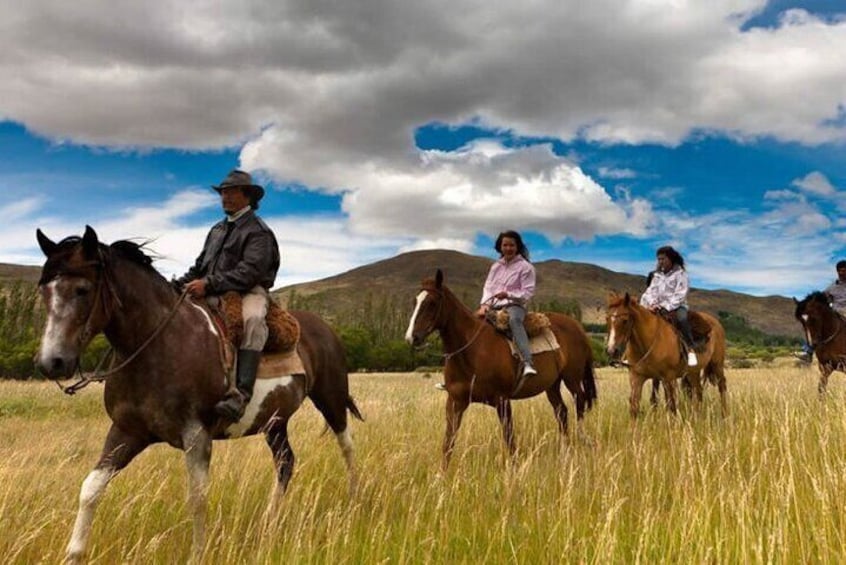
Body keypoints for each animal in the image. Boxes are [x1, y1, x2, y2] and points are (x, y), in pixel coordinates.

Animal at [36, 226, 362, 564]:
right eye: (44, 291)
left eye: (82, 289)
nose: (51, 363)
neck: (157, 345)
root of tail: (325, 328)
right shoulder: (126, 432)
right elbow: (90, 489)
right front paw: (73, 554)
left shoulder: (196, 435)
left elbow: (197, 498)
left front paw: (197, 553)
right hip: (274, 422)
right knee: (285, 462)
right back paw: (269, 523)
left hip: (331, 398)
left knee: (347, 446)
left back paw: (354, 503)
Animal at [404, 268, 596, 468]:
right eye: (415, 302)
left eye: (432, 303)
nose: (411, 337)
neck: (472, 350)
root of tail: (577, 326)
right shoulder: (455, 402)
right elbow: (448, 441)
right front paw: (442, 473)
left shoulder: (502, 401)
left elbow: (509, 437)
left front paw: (514, 469)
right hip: (552, 384)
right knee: (562, 412)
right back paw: (565, 452)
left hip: (572, 378)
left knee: (580, 402)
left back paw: (583, 439)